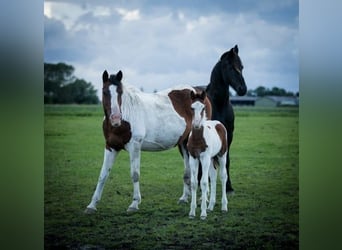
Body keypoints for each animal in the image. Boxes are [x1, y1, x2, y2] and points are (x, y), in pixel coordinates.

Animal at [84, 70, 211, 213]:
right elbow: (103, 175)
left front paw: (134, 203)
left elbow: (135, 174)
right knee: (188, 170)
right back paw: (184, 198)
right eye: (105, 91)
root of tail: (198, 92)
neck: (126, 116)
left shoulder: (134, 147)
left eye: (120, 92)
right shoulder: (111, 147)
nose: (116, 118)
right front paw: (92, 205)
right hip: (184, 145)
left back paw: (204, 199)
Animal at [186, 90, 228, 219]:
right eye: (192, 107)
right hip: (211, 158)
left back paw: (224, 206)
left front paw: (203, 213)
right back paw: (211, 206)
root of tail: (218, 123)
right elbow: (194, 183)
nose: (196, 124)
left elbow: (204, 183)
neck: (198, 138)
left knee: (223, 176)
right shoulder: (193, 158)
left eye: (203, 107)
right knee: (213, 176)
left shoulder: (204, 158)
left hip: (222, 155)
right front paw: (192, 212)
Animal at [202, 45, 247, 193]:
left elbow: (226, 160)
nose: (243, 89)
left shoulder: (229, 135)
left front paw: (229, 186)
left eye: (241, 67)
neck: (219, 104)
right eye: (230, 67)